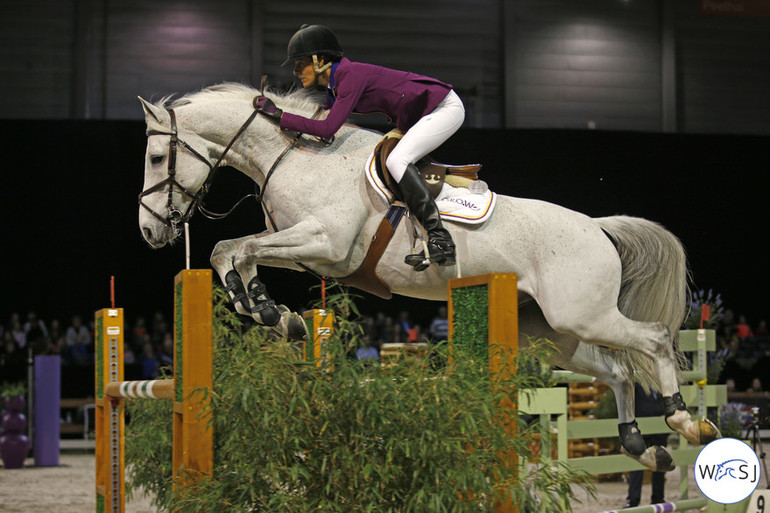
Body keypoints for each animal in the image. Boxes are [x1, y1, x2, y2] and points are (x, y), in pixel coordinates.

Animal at [136, 83, 720, 472]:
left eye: (158, 156)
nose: (148, 230)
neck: (295, 155)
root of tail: (598, 227)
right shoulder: (309, 252)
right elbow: (231, 252)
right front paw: (269, 312)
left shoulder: (325, 243)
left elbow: (235, 248)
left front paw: (267, 310)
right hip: (554, 334)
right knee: (618, 372)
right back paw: (642, 446)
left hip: (585, 315)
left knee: (655, 341)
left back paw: (684, 421)